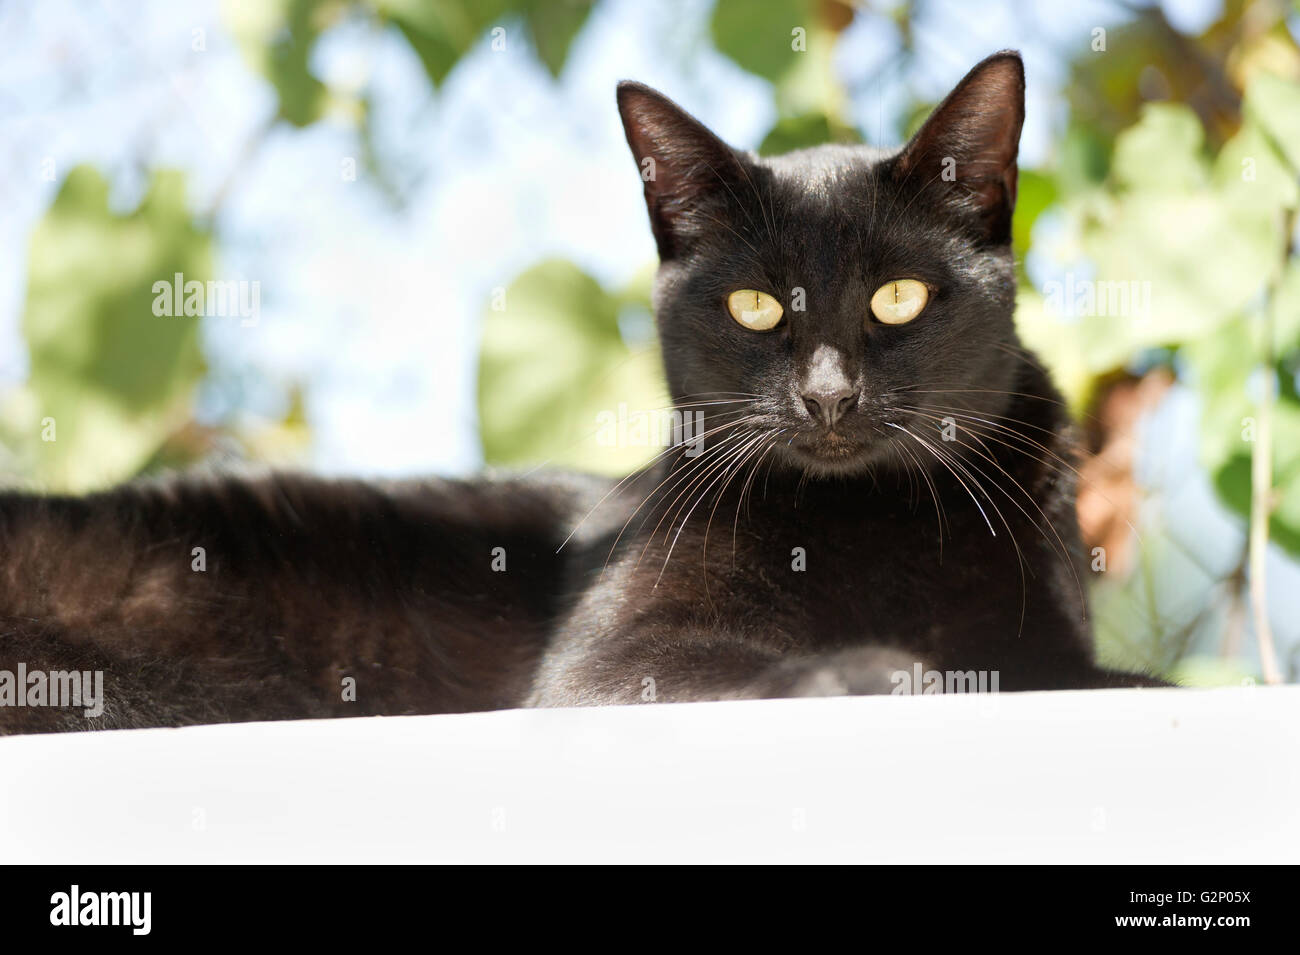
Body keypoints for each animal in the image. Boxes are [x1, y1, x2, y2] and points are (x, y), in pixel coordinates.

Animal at [0, 50, 1164, 738]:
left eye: (899, 297)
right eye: (752, 307)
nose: (829, 397)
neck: (868, 521)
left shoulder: (1050, 647)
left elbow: (1095, 681)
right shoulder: (603, 670)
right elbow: (778, 667)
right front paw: (880, 668)